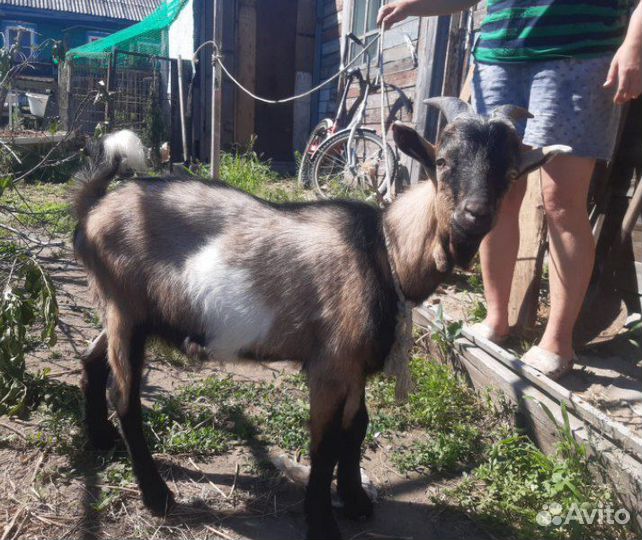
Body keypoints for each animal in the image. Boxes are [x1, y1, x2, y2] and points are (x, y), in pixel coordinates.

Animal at [74, 97, 569, 540]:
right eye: (443, 161)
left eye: (509, 173)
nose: (475, 215)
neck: (383, 250)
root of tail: (93, 208)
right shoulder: (330, 366)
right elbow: (326, 442)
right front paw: (322, 520)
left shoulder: (354, 366)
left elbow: (357, 429)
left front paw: (356, 500)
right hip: (127, 313)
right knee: (125, 395)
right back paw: (156, 494)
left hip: (117, 311)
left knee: (92, 360)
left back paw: (100, 439)